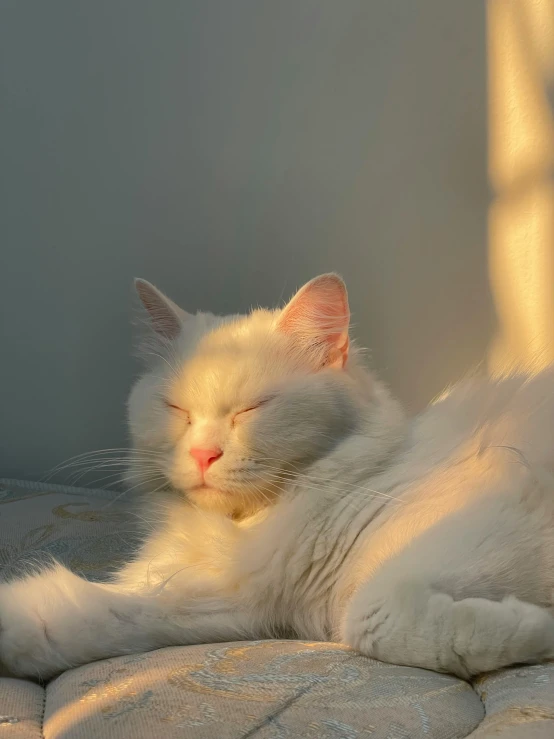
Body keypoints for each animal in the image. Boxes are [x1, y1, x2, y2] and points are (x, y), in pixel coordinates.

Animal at [1, 274, 552, 680]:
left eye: (253, 408)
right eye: (176, 409)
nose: (203, 455)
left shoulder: (480, 523)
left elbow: (372, 616)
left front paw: (535, 628)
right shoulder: (218, 602)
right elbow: (63, 617)